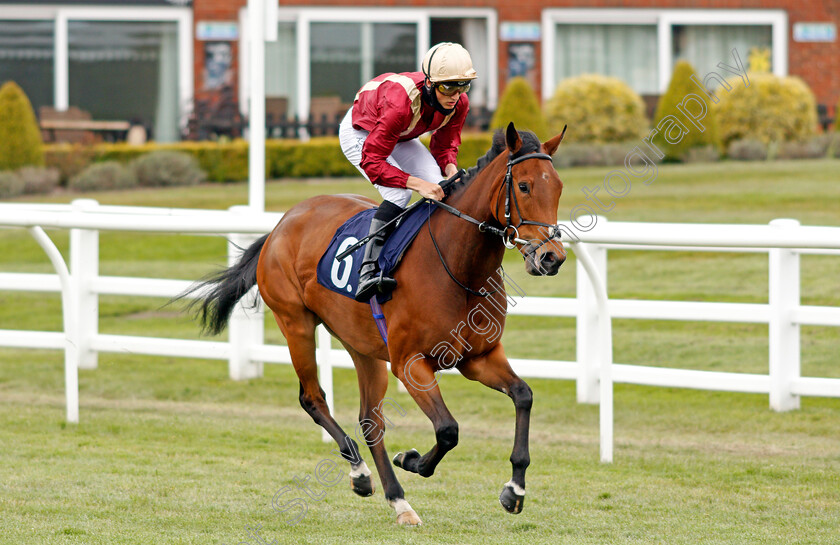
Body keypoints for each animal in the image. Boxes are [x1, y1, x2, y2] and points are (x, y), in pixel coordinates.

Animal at [187, 122, 568, 524]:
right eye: (524, 186)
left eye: (558, 186)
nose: (551, 258)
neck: (458, 266)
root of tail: (282, 223)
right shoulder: (410, 364)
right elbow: (448, 430)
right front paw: (411, 459)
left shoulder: (479, 357)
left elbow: (523, 395)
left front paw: (515, 489)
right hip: (296, 324)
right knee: (313, 398)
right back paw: (360, 473)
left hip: (362, 347)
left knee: (371, 420)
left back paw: (398, 501)